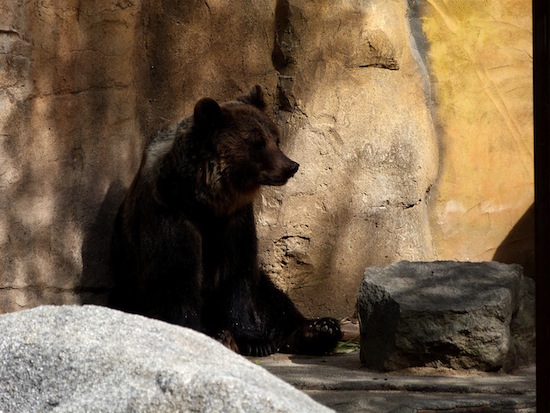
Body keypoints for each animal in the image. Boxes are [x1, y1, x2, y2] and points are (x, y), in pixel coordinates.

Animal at [109, 85, 342, 356]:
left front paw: (254, 340)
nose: (290, 165)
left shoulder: (236, 220)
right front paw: (200, 333)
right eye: (257, 143)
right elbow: (176, 277)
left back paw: (320, 329)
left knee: (271, 297)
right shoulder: (170, 212)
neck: (204, 200)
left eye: (276, 139)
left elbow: (237, 276)